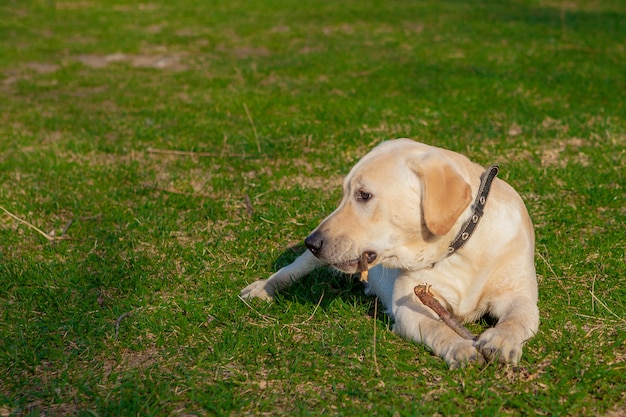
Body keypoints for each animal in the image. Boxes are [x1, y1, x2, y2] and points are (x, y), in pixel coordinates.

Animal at [239, 139, 536, 368]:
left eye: (364, 195)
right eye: (345, 193)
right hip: (308, 260)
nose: (311, 241)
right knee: (291, 269)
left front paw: (500, 339)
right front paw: (459, 347)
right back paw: (262, 288)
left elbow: (516, 319)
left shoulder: (521, 296)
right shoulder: (411, 304)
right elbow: (437, 327)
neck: (460, 247)